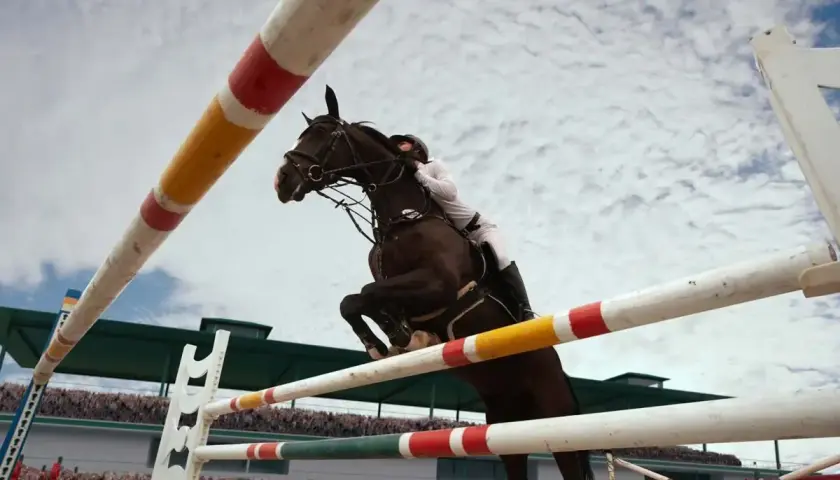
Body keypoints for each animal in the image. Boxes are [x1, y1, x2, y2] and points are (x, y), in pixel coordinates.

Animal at [274, 85, 594, 480]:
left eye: (322, 135)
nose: (282, 180)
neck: (403, 219)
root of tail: (560, 370)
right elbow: (358, 301)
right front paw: (394, 337)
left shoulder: (437, 285)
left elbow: (363, 295)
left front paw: (389, 340)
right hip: (505, 424)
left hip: (555, 421)